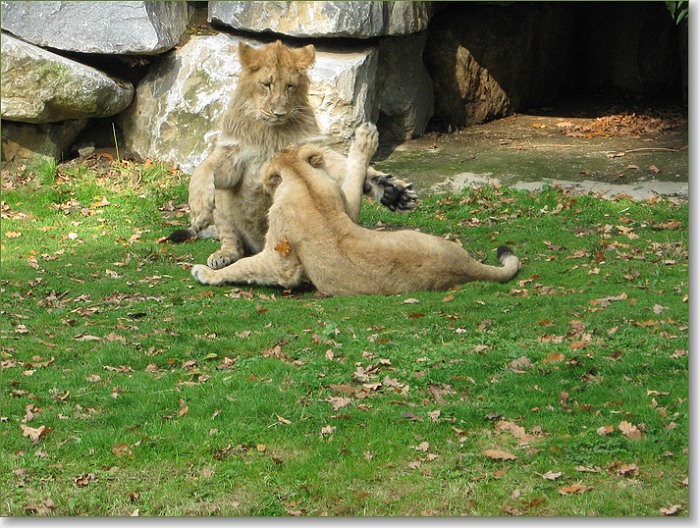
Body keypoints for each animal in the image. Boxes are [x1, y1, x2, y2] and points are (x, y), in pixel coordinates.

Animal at [170, 40, 417, 271]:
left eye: (290, 86)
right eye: (267, 85)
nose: (279, 113)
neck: (271, 130)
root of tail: (259, 247)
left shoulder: (313, 151)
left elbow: (344, 166)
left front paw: (394, 191)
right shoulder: (233, 157)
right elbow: (202, 169)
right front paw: (199, 211)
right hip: (225, 210)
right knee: (233, 242)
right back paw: (223, 255)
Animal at [191, 123, 520, 296]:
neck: (301, 180)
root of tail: (466, 266)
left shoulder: (281, 260)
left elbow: (248, 267)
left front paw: (205, 274)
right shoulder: (343, 205)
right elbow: (352, 182)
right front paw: (365, 140)